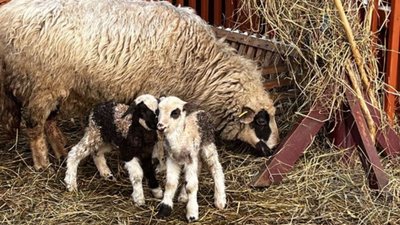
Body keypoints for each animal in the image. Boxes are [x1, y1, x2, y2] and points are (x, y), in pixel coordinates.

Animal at [0, 0, 280, 170]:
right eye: (261, 121)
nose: (274, 150)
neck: (200, 66)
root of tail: (7, 14)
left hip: (55, 86)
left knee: (49, 121)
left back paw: (60, 151)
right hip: (38, 83)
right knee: (34, 125)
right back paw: (42, 164)